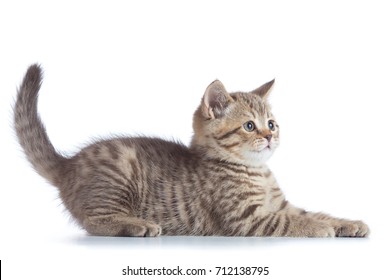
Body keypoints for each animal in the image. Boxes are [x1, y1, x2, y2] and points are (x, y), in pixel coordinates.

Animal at [14, 64, 368, 237]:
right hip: (116, 178)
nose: (270, 136)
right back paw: (136, 225)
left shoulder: (282, 205)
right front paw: (321, 229)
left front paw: (346, 223)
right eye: (249, 126)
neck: (256, 170)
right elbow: (290, 222)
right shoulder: (247, 218)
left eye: (272, 123)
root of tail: (68, 165)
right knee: (93, 221)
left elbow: (311, 212)